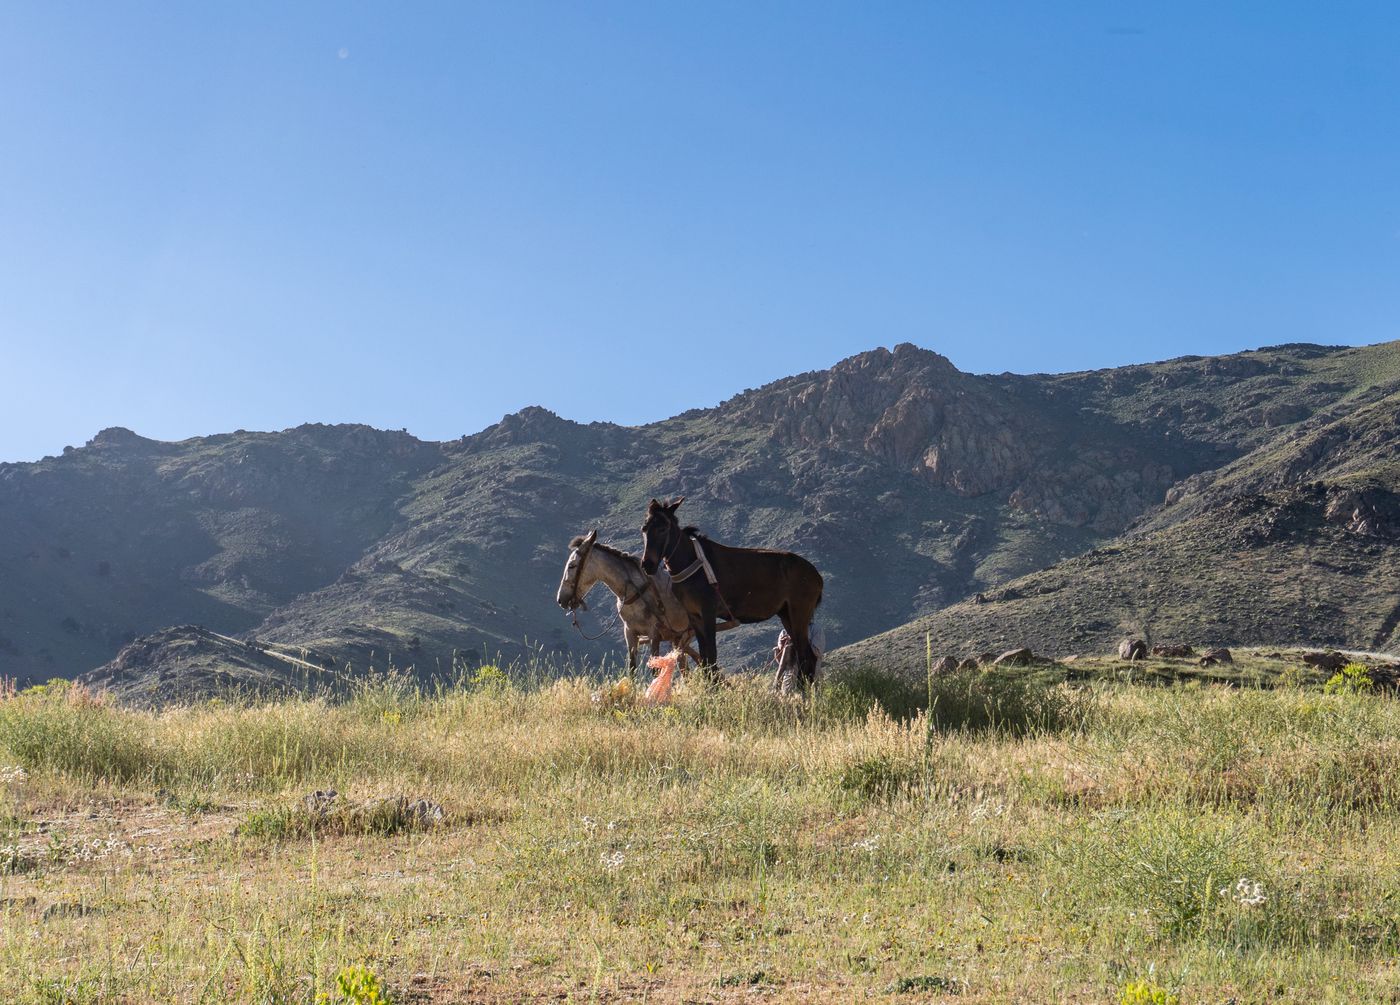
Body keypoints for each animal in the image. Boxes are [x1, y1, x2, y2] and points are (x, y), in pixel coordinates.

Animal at [555, 529, 701, 675]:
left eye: (571, 565)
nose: (560, 599)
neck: (634, 591)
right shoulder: (630, 633)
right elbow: (632, 669)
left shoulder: (654, 633)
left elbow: (654, 670)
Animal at [639, 497, 824, 691]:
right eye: (644, 529)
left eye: (663, 529)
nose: (647, 565)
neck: (690, 563)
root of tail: (816, 575)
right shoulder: (694, 616)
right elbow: (704, 656)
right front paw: (709, 688)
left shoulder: (709, 612)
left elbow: (711, 654)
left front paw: (714, 689)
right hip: (786, 614)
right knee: (806, 654)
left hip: (799, 612)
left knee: (805, 654)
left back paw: (803, 693)